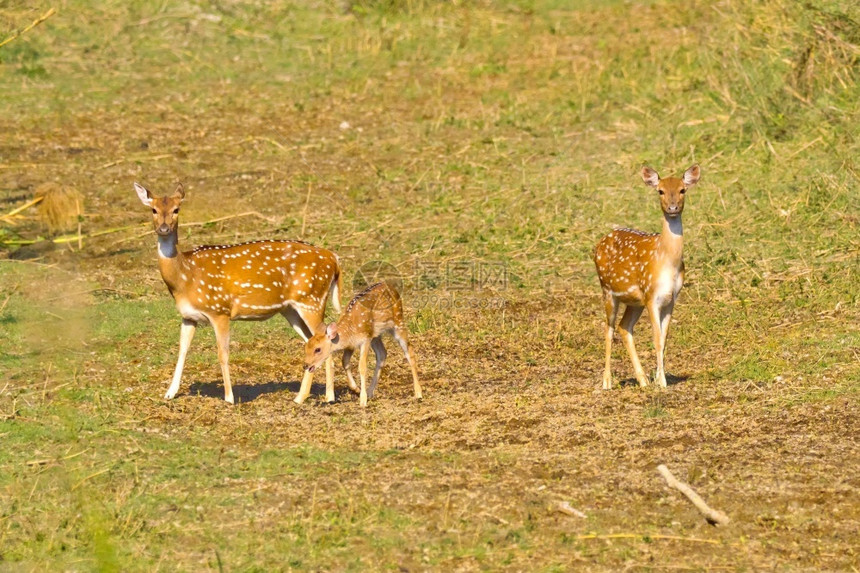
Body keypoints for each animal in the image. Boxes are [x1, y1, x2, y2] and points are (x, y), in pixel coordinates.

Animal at [133, 182, 340, 402]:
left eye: (176, 209)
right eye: (153, 210)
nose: (163, 228)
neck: (184, 277)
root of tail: (334, 260)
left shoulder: (220, 310)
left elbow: (222, 354)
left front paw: (229, 397)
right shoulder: (188, 316)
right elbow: (182, 350)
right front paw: (170, 393)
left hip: (312, 300)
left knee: (326, 338)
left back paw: (329, 396)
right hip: (291, 309)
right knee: (312, 341)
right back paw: (301, 397)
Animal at [596, 164, 704, 388]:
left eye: (682, 190)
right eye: (660, 191)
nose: (672, 208)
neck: (666, 260)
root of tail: (598, 244)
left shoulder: (671, 298)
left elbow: (664, 338)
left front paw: (658, 379)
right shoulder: (651, 295)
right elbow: (656, 338)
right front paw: (661, 382)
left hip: (635, 301)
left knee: (624, 327)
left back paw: (643, 380)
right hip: (607, 290)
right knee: (608, 329)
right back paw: (607, 382)